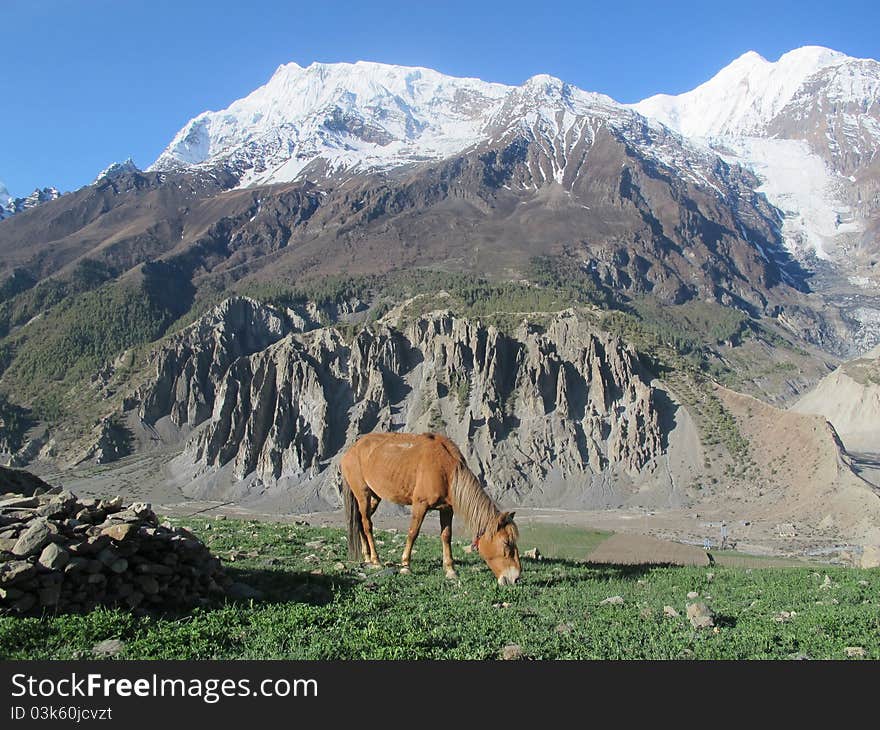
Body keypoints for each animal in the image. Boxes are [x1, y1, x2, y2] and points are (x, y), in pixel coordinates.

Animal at [340, 430, 524, 584]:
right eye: (506, 543)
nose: (515, 578)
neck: (446, 470)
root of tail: (350, 451)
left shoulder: (447, 509)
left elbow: (446, 536)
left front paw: (450, 570)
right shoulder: (420, 505)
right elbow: (413, 533)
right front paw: (405, 566)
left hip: (375, 497)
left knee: (360, 521)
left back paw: (367, 557)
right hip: (363, 494)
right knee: (367, 524)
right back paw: (376, 560)